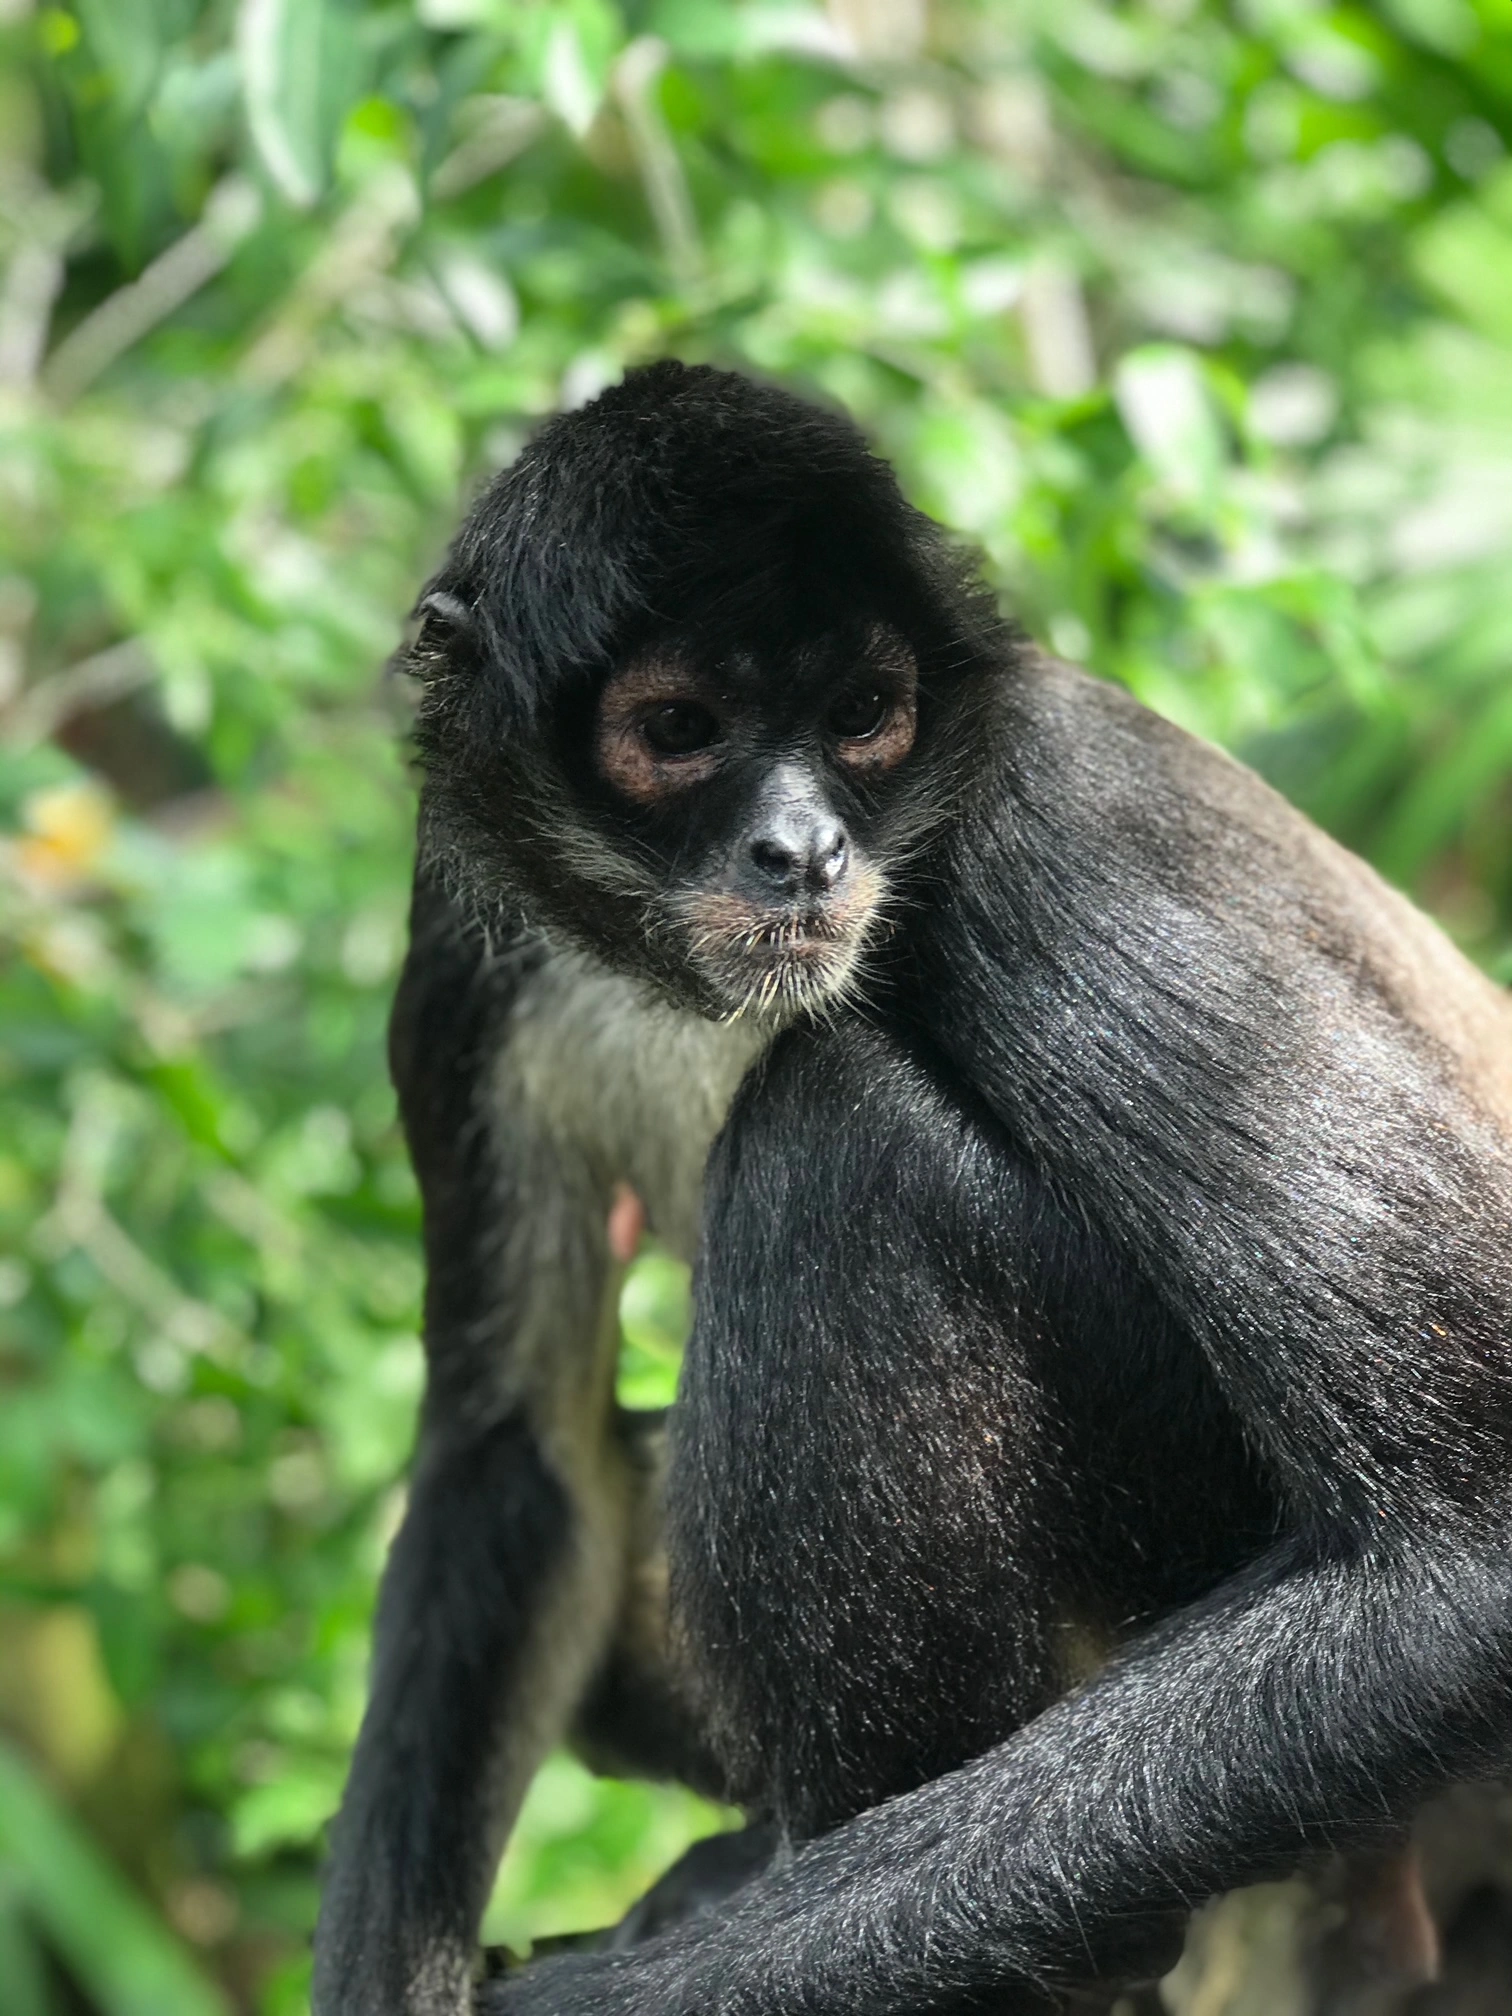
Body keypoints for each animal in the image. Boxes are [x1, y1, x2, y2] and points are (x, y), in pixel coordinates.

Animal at [311, 359, 1512, 2016]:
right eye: (677, 728)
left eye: (863, 718)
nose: (805, 851)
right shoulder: (462, 906)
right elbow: (515, 1455)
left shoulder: (1044, 823)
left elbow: (1456, 1566)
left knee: (837, 1134)